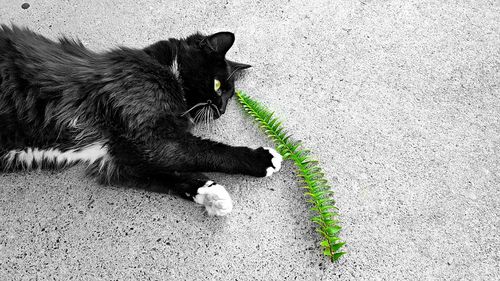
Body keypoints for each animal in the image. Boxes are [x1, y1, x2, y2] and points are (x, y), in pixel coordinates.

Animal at [0, 25, 282, 215]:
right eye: (217, 86)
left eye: (229, 97)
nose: (222, 110)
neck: (165, 69)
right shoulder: (153, 137)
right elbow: (205, 151)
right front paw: (261, 159)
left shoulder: (119, 158)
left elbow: (165, 175)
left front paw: (210, 193)